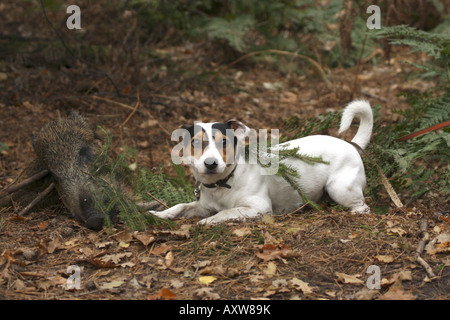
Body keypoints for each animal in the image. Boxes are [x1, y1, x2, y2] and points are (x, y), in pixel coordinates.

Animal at [151, 100, 372, 225]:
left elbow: (227, 212)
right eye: (196, 142)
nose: (211, 164)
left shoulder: (258, 208)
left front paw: (209, 221)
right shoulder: (203, 205)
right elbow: (180, 206)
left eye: (224, 141)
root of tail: (351, 144)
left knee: (363, 207)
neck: (224, 183)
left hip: (339, 188)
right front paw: (159, 214)